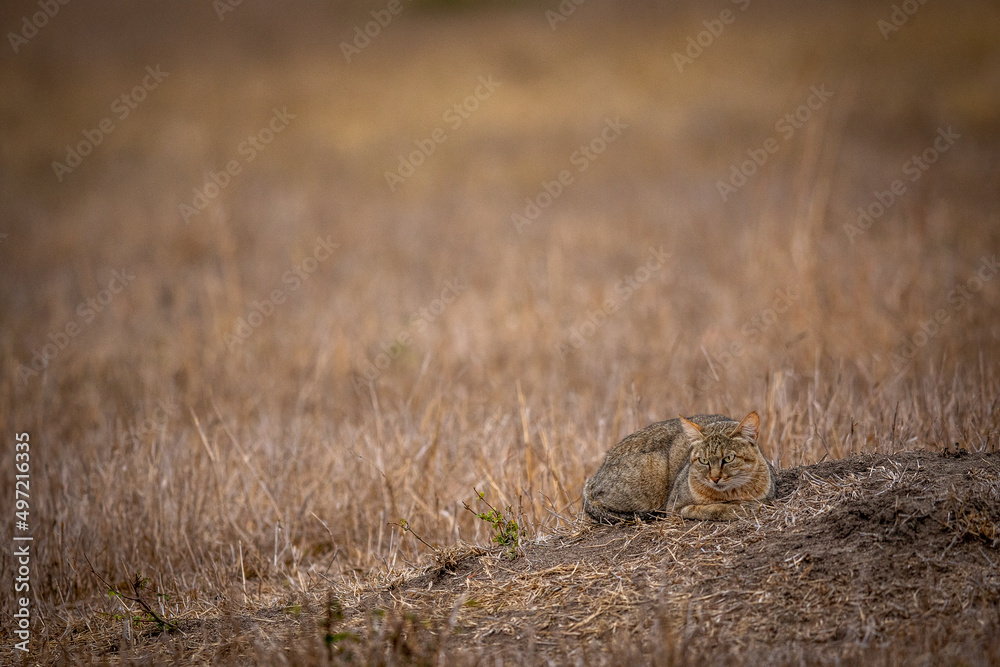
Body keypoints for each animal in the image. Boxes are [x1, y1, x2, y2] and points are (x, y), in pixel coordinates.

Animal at [584, 412, 776, 520]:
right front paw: (738, 508)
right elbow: (711, 509)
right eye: (703, 460)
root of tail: (594, 478)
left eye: (728, 458)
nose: (715, 478)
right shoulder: (675, 507)